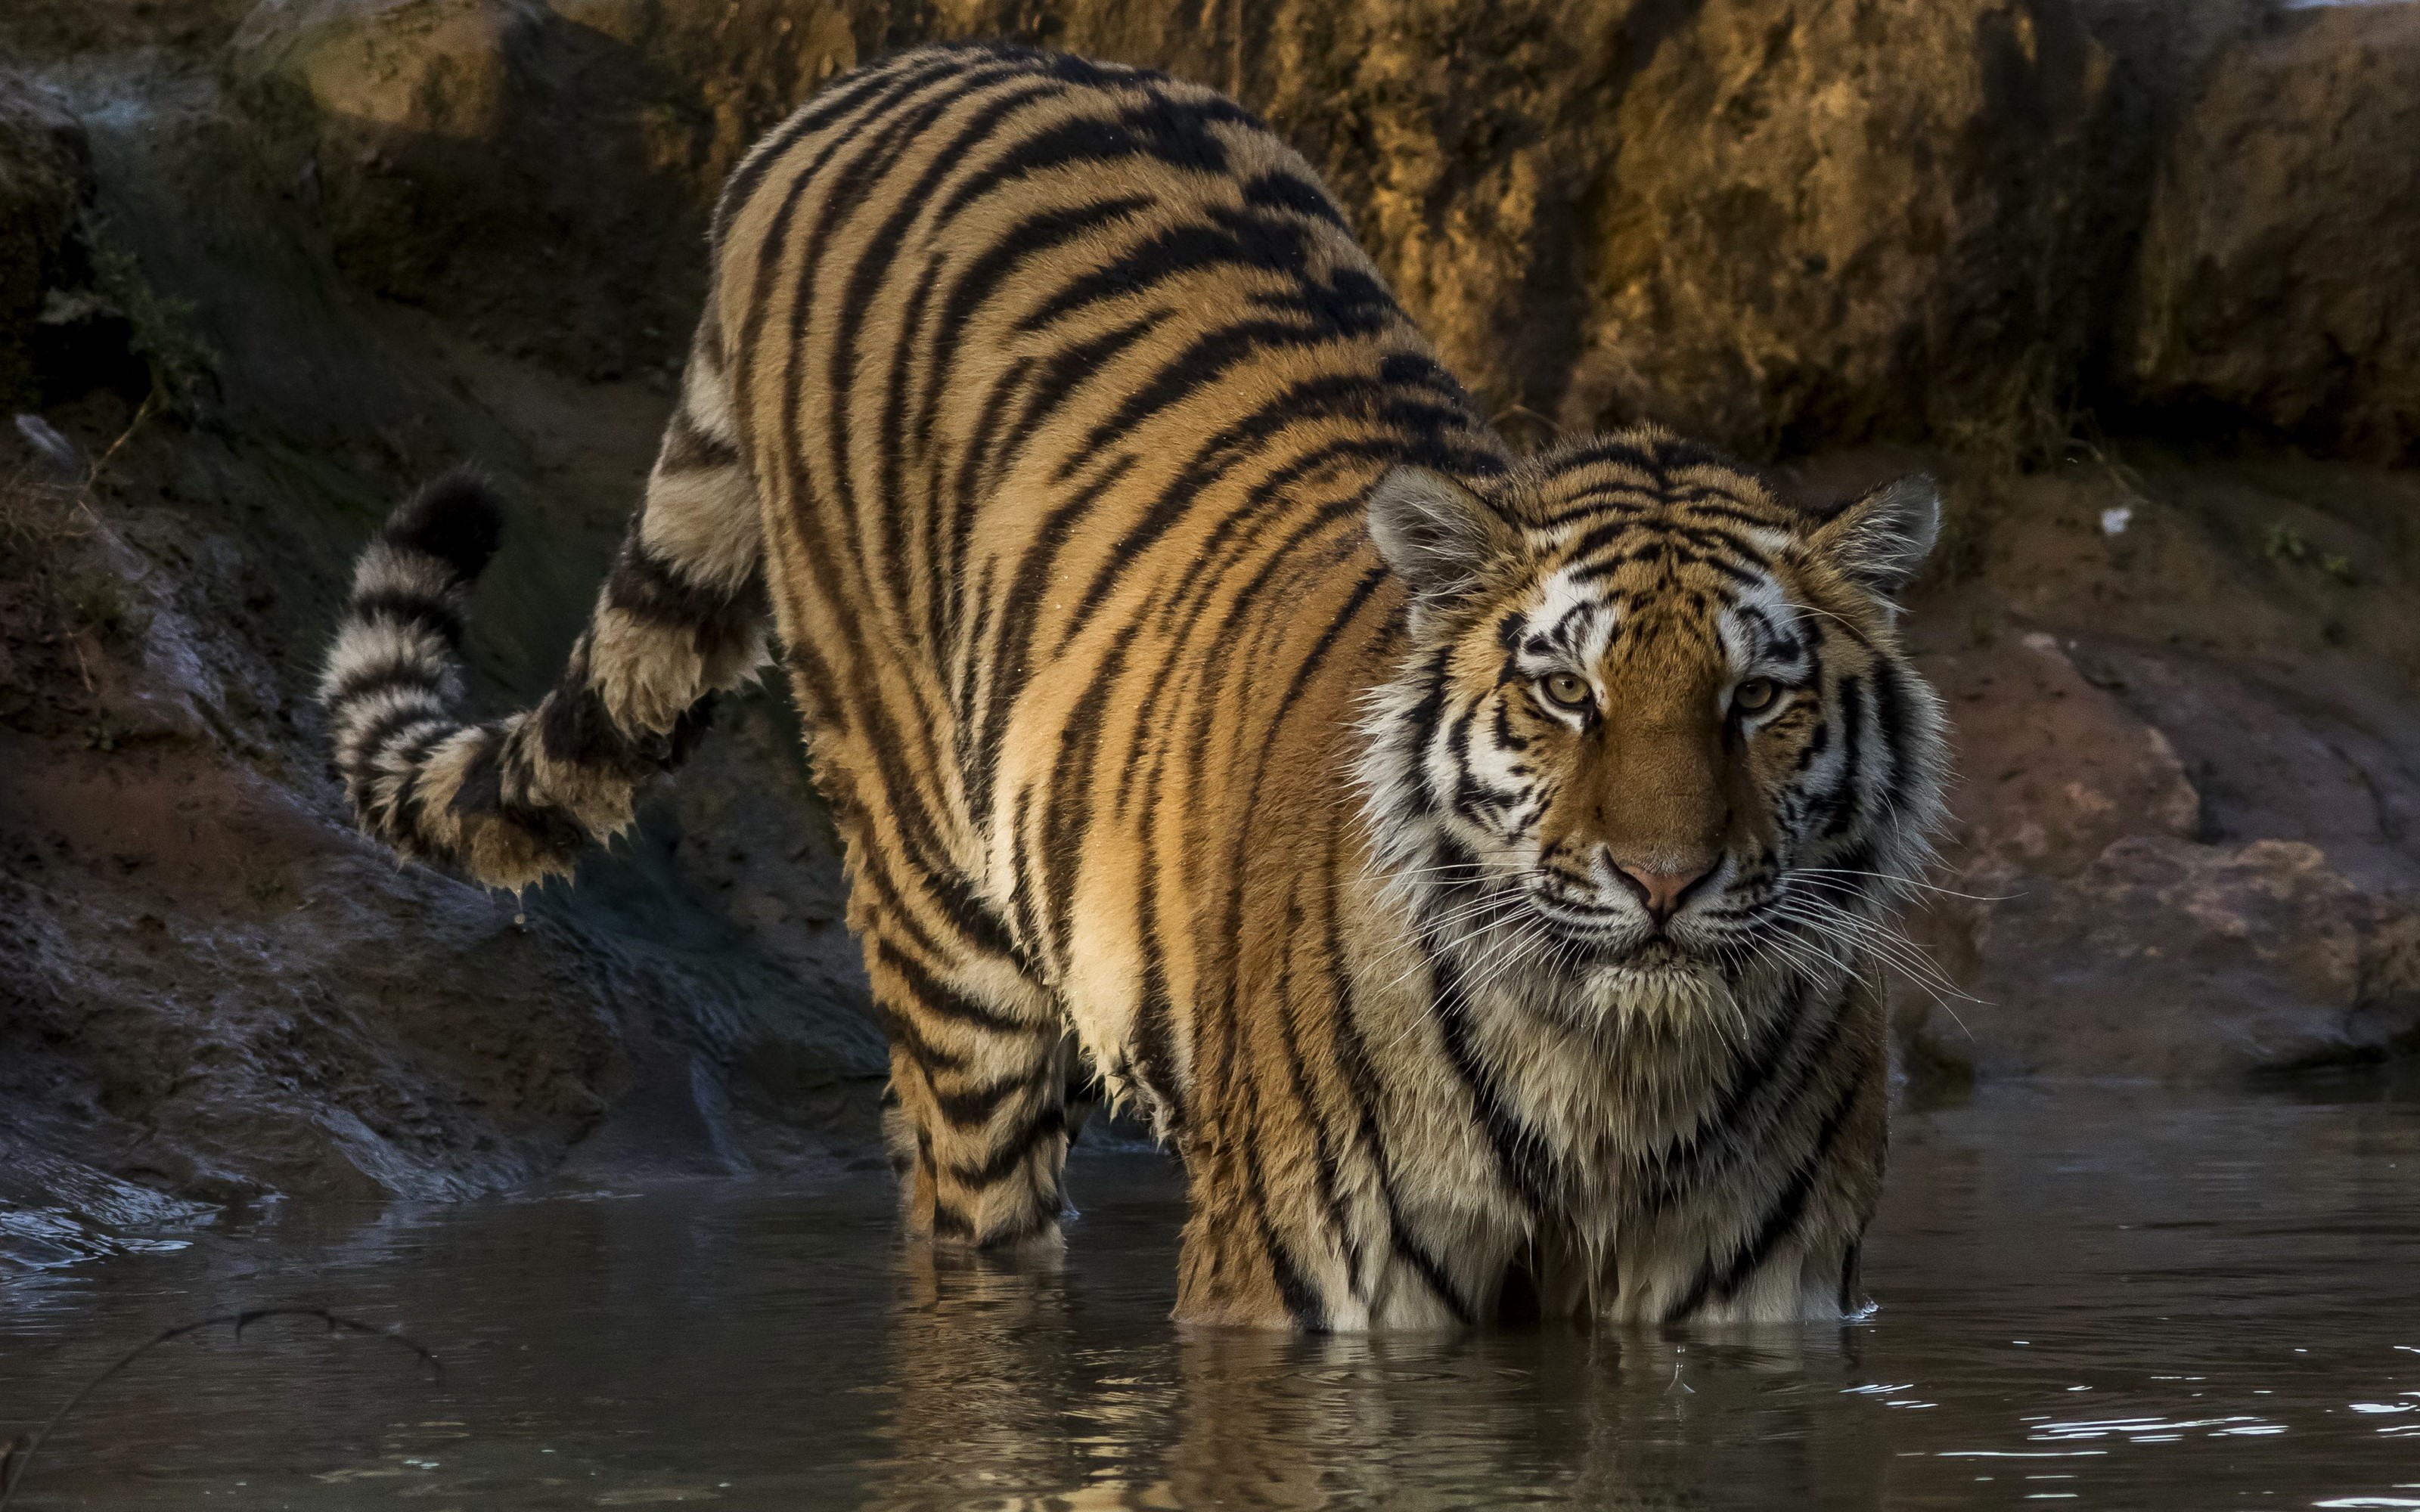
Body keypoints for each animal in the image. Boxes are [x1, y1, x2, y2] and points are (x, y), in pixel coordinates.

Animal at [318, 41, 1948, 1329]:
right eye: (1566, 694)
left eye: (1755, 700)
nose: (1663, 882)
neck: (1613, 1077)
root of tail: (870, 81)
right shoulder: (1296, 1292)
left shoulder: (1763, 1306)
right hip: (940, 919)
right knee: (964, 1207)